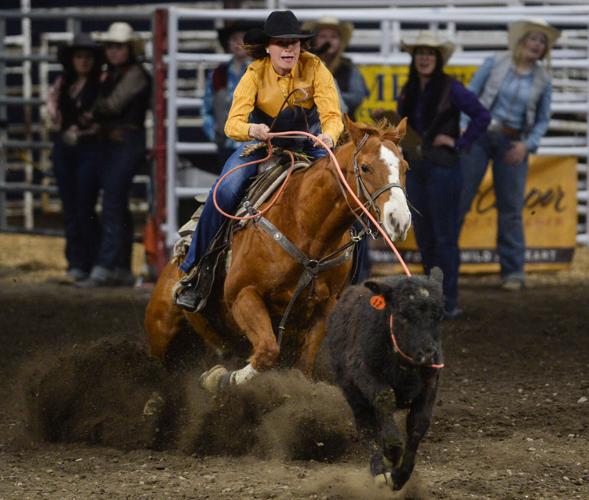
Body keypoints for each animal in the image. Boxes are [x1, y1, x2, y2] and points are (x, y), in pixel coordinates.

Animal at [144, 115, 408, 392]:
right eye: (365, 167)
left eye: (405, 167)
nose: (400, 220)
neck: (305, 228)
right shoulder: (242, 294)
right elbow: (267, 352)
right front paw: (217, 379)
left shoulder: (325, 309)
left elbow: (302, 365)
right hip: (162, 328)